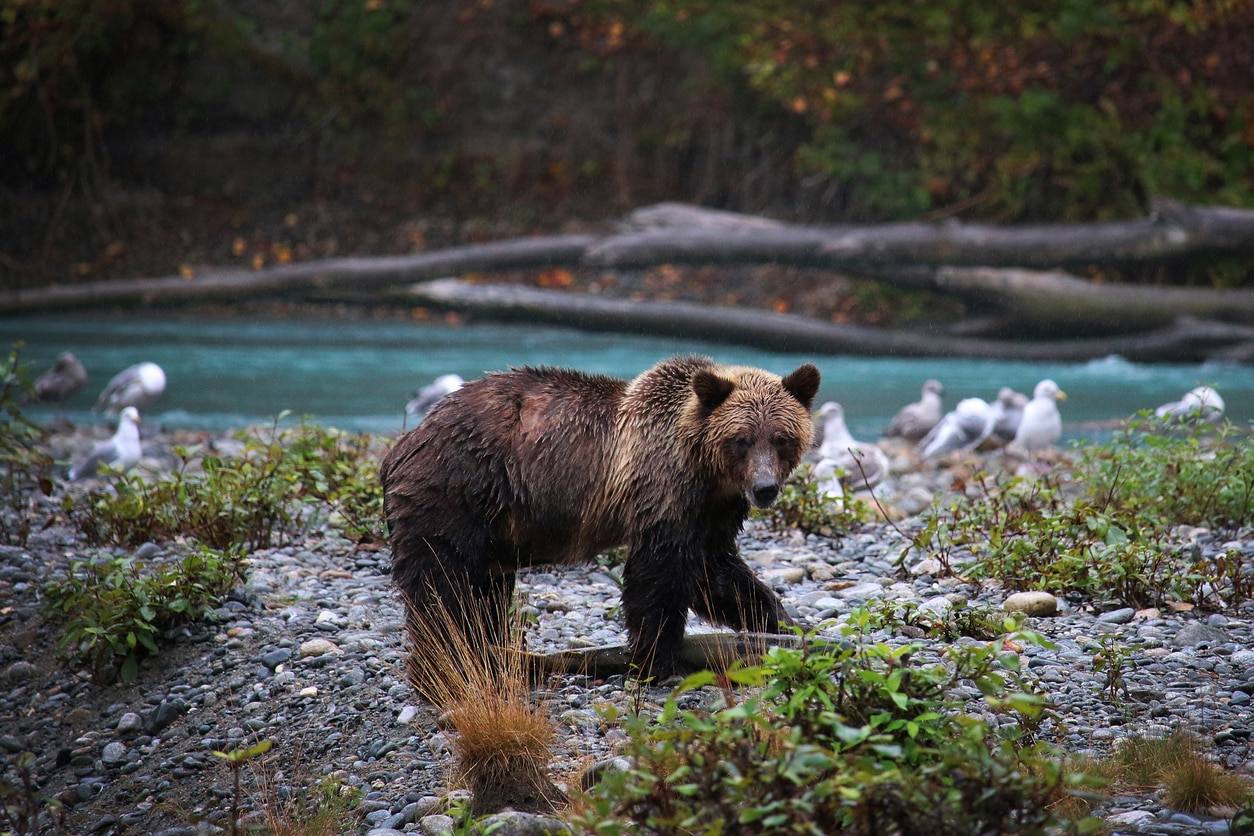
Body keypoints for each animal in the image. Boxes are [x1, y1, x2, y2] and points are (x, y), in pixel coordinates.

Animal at [380, 355, 820, 677]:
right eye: (741, 439)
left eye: (781, 438)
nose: (764, 488)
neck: (704, 470)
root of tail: (406, 441)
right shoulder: (660, 487)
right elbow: (659, 573)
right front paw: (657, 659)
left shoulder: (713, 510)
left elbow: (716, 572)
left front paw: (783, 622)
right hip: (458, 489)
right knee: (441, 583)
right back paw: (447, 660)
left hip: (492, 525)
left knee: (484, 591)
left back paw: (488, 651)